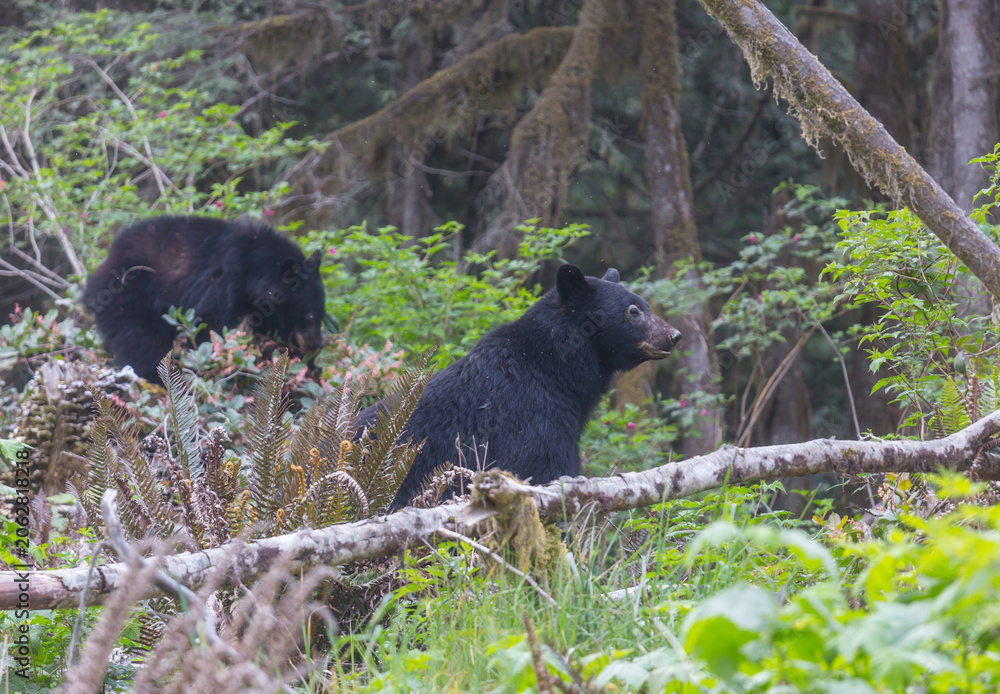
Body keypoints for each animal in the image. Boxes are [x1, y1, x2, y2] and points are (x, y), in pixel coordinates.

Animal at [84, 216, 326, 381]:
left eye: (322, 314)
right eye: (309, 315)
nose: (318, 343)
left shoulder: (263, 307)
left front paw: (309, 366)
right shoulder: (222, 284)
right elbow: (211, 327)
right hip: (130, 292)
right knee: (140, 338)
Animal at [356, 264, 682, 510]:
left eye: (646, 305)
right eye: (633, 311)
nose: (674, 335)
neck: (555, 370)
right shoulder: (529, 419)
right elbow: (544, 471)